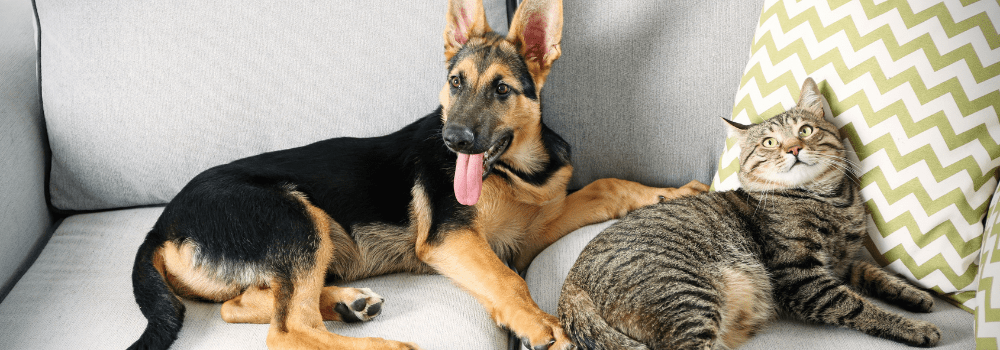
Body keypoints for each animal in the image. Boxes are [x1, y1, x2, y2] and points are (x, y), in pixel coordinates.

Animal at [129, 0, 712, 348]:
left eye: (502, 89)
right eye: (455, 82)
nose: (453, 141)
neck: (517, 168)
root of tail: (160, 226)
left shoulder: (530, 229)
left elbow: (608, 185)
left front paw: (672, 192)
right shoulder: (451, 237)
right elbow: (506, 281)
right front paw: (539, 322)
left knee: (244, 306)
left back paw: (348, 303)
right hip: (297, 218)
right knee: (288, 328)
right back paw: (383, 342)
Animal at [560, 78, 940, 348]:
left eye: (805, 130)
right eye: (769, 142)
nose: (794, 148)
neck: (830, 201)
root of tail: (570, 285)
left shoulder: (843, 262)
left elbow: (872, 273)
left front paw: (913, 294)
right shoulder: (803, 277)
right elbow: (858, 305)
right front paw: (914, 327)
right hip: (686, 295)